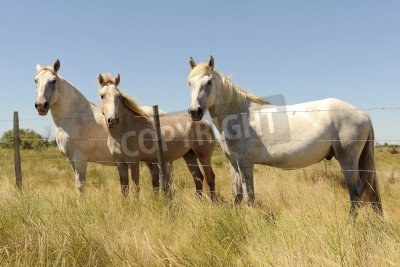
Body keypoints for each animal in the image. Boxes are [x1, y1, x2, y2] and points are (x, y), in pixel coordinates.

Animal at [34, 59, 170, 196]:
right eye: (35, 80)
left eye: (53, 81)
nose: (41, 105)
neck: (75, 118)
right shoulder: (71, 160)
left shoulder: (80, 159)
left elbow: (80, 186)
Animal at [99, 73, 217, 201]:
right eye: (102, 95)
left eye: (119, 96)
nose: (113, 120)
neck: (124, 130)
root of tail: (206, 122)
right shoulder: (120, 163)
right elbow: (124, 188)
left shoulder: (133, 162)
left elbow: (135, 188)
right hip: (189, 155)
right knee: (198, 177)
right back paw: (197, 201)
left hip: (204, 156)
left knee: (210, 177)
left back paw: (214, 201)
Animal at [186, 56, 382, 216]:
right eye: (190, 83)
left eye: (209, 82)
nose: (194, 112)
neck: (240, 115)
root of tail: (363, 114)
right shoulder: (234, 163)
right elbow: (237, 195)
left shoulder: (245, 162)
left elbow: (249, 197)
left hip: (348, 160)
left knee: (356, 192)